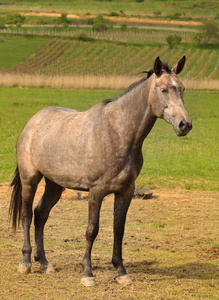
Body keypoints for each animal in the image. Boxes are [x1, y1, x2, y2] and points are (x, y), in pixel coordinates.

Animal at [9, 56, 192, 286]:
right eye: (163, 89)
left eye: (182, 89)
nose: (184, 124)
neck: (117, 132)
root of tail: (32, 123)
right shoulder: (96, 191)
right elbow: (91, 230)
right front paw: (87, 274)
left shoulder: (125, 191)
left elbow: (118, 229)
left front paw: (121, 272)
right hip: (30, 179)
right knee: (26, 215)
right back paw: (25, 262)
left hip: (55, 184)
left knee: (40, 214)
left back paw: (44, 263)